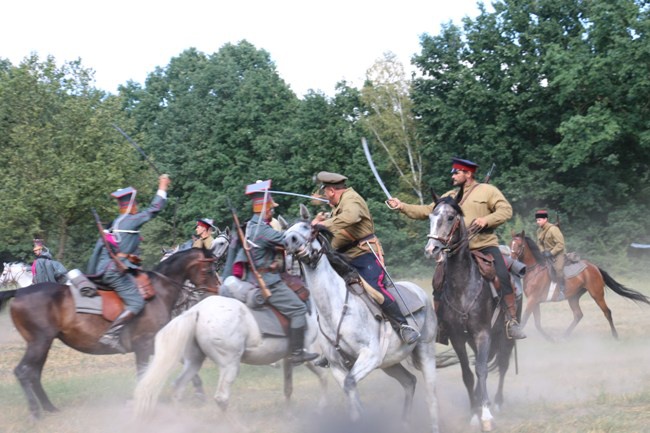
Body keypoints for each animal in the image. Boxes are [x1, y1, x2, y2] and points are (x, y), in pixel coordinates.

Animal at [0, 246, 220, 418]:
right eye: (209, 269)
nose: (216, 291)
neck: (158, 293)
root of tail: (19, 292)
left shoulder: (156, 344)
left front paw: (200, 393)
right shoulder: (143, 346)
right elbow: (142, 375)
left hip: (42, 344)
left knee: (34, 374)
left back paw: (49, 408)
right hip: (39, 343)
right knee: (23, 372)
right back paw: (36, 412)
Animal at [132, 284, 326, 422]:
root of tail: (197, 310)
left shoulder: (288, 359)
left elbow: (288, 388)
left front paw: (289, 415)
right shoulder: (309, 357)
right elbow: (323, 378)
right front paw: (320, 408)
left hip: (194, 362)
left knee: (178, 388)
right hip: (230, 365)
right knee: (221, 398)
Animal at [280, 207, 438, 432]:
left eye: (306, 227)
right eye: (285, 232)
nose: (289, 241)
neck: (335, 308)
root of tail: (418, 291)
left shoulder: (369, 356)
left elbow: (350, 386)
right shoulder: (337, 367)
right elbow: (352, 397)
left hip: (425, 350)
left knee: (431, 396)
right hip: (390, 363)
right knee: (409, 382)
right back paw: (404, 423)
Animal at [422, 195, 512, 428]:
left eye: (450, 217)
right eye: (431, 217)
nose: (431, 249)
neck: (463, 286)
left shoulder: (483, 333)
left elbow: (481, 370)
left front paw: (486, 414)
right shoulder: (457, 337)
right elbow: (468, 373)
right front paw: (474, 412)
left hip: (506, 335)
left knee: (503, 363)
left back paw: (498, 402)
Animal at [508, 231, 644, 340]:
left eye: (519, 245)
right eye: (510, 244)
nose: (511, 259)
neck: (535, 270)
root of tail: (594, 267)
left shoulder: (533, 300)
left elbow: (524, 320)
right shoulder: (535, 302)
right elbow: (537, 323)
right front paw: (550, 339)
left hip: (597, 294)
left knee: (607, 312)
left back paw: (615, 335)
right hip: (573, 297)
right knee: (578, 315)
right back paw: (565, 335)